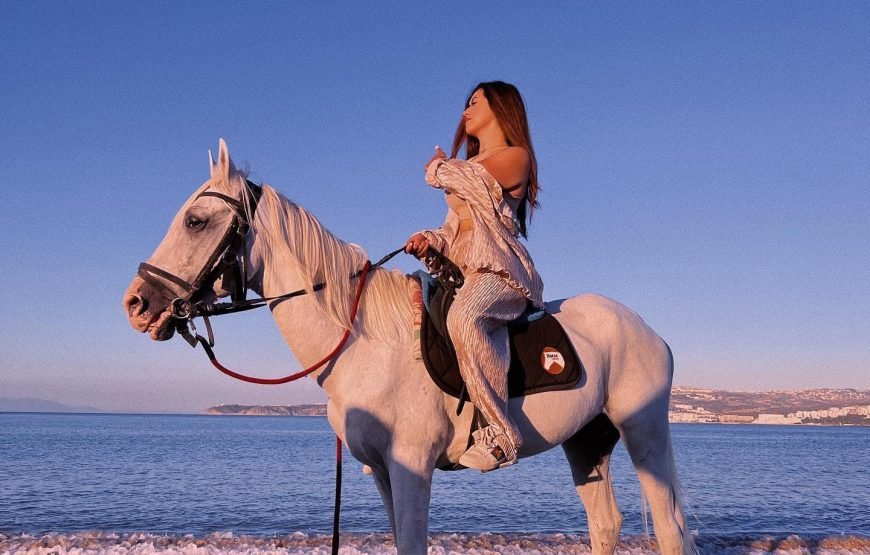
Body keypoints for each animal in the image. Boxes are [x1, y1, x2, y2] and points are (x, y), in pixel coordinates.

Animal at [123, 139, 696, 555]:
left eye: (195, 221)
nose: (137, 303)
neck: (361, 345)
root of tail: (650, 331)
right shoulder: (381, 471)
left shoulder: (411, 467)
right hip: (586, 440)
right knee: (606, 524)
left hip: (644, 430)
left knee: (669, 525)